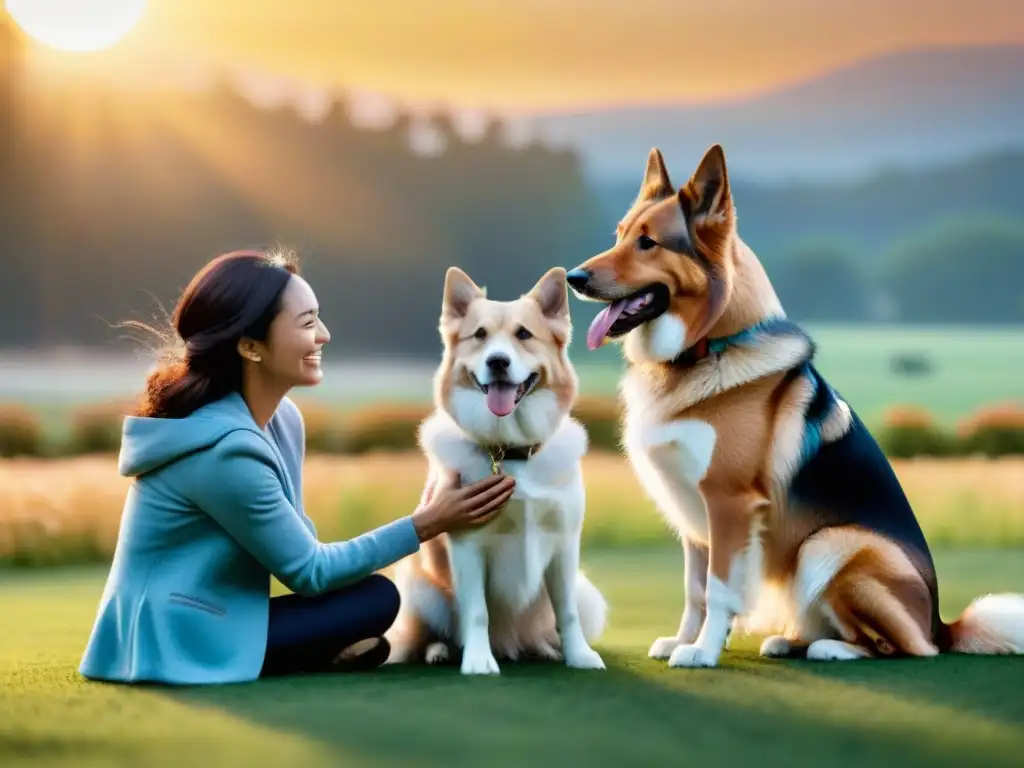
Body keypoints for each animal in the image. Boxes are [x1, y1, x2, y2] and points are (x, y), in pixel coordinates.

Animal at [565, 148, 1019, 667]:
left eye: (648, 243)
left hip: (830, 545)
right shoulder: (695, 519)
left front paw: (702, 652)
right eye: (619, 235)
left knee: (904, 647)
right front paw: (684, 641)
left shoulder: (728, 504)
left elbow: (719, 589)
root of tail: (942, 622)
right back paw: (790, 640)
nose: (574, 278)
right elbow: (695, 590)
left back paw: (830, 648)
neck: (707, 346)